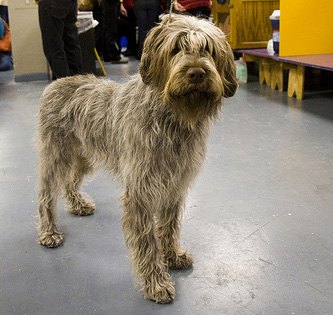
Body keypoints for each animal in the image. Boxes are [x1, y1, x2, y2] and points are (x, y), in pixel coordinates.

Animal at [36, 13, 236, 304]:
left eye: (208, 49)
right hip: (56, 156)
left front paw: (172, 255)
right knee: (46, 196)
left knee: (70, 182)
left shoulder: (174, 185)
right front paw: (156, 283)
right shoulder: (140, 192)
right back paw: (49, 231)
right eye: (176, 48)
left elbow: (169, 226)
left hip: (84, 156)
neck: (172, 116)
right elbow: (147, 241)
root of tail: (57, 83)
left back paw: (78, 204)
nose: (197, 73)